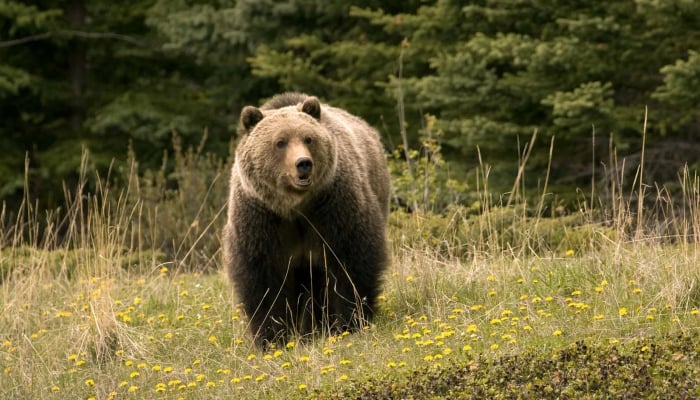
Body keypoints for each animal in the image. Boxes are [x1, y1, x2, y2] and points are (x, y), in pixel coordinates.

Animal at [223, 92, 392, 346]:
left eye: (308, 138)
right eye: (280, 142)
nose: (303, 163)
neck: (295, 207)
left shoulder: (333, 208)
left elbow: (350, 263)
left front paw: (348, 323)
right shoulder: (261, 220)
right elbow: (263, 281)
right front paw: (272, 337)